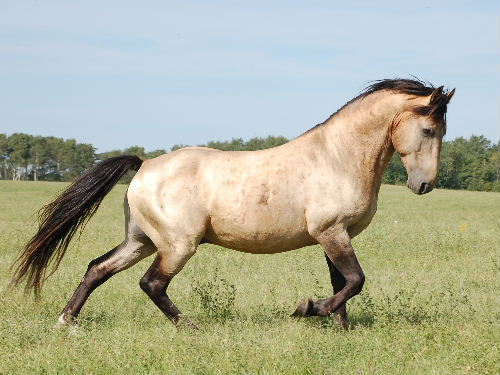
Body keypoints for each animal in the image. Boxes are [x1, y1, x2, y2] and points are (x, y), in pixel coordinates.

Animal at [11, 78, 456, 328]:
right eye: (429, 129)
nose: (424, 185)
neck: (338, 156)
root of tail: (145, 164)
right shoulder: (331, 232)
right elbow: (355, 281)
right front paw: (306, 309)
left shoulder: (335, 235)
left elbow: (343, 283)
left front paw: (339, 328)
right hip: (177, 245)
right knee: (151, 284)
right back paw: (189, 327)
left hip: (142, 240)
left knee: (97, 269)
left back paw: (66, 321)